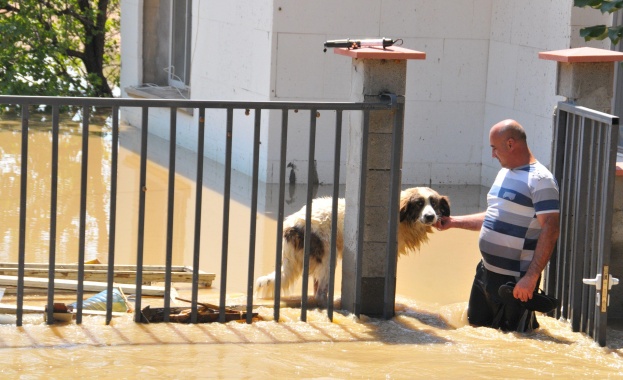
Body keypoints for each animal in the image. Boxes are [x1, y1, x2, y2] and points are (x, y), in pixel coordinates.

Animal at [256, 186, 450, 306]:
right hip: (328, 257)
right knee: (320, 293)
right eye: (419, 204)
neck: (402, 218)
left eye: (434, 204)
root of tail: (291, 225)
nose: (430, 216)